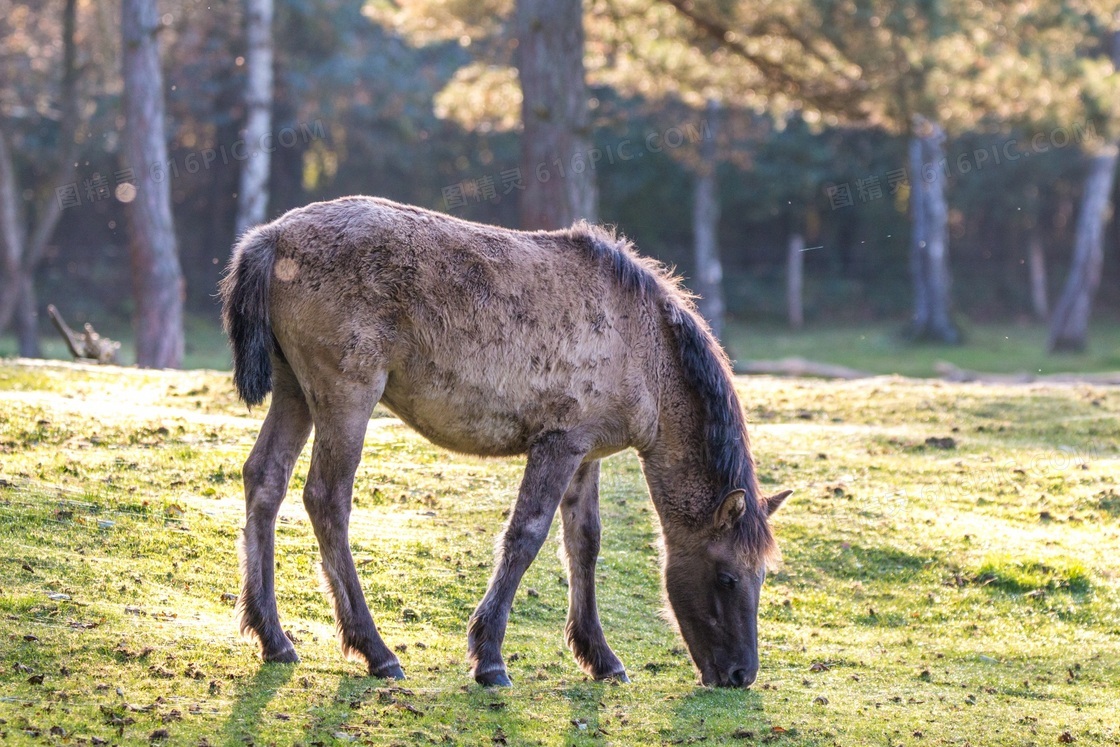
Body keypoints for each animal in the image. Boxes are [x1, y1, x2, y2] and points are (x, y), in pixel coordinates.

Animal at [218, 194, 792, 689]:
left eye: (762, 577)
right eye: (728, 577)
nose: (741, 674)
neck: (639, 344)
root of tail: (271, 237)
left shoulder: (585, 454)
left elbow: (584, 544)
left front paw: (600, 657)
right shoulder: (558, 443)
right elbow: (526, 537)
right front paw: (489, 656)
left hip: (295, 391)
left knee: (265, 480)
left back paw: (274, 638)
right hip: (345, 396)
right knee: (326, 499)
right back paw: (375, 650)